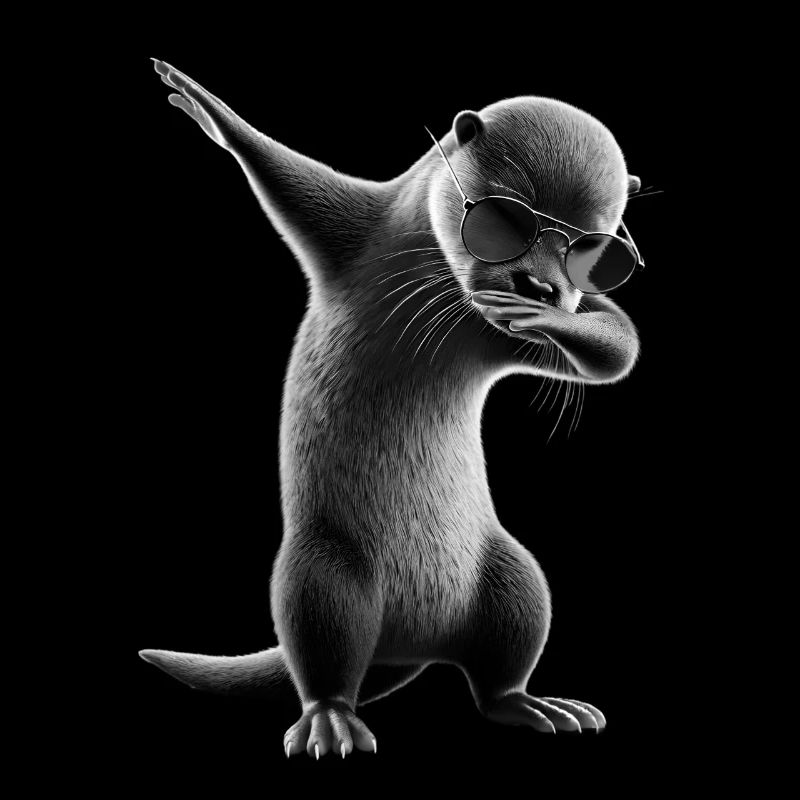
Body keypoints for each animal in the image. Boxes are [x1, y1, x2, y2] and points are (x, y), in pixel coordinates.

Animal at [141, 59, 641, 759]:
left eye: (593, 252)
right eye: (506, 220)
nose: (542, 287)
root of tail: (409, 644)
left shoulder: (500, 335)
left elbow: (617, 351)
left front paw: (550, 315)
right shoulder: (353, 227)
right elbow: (286, 175)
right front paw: (208, 109)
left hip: (513, 577)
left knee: (500, 666)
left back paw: (535, 706)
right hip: (322, 572)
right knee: (324, 650)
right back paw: (329, 721)